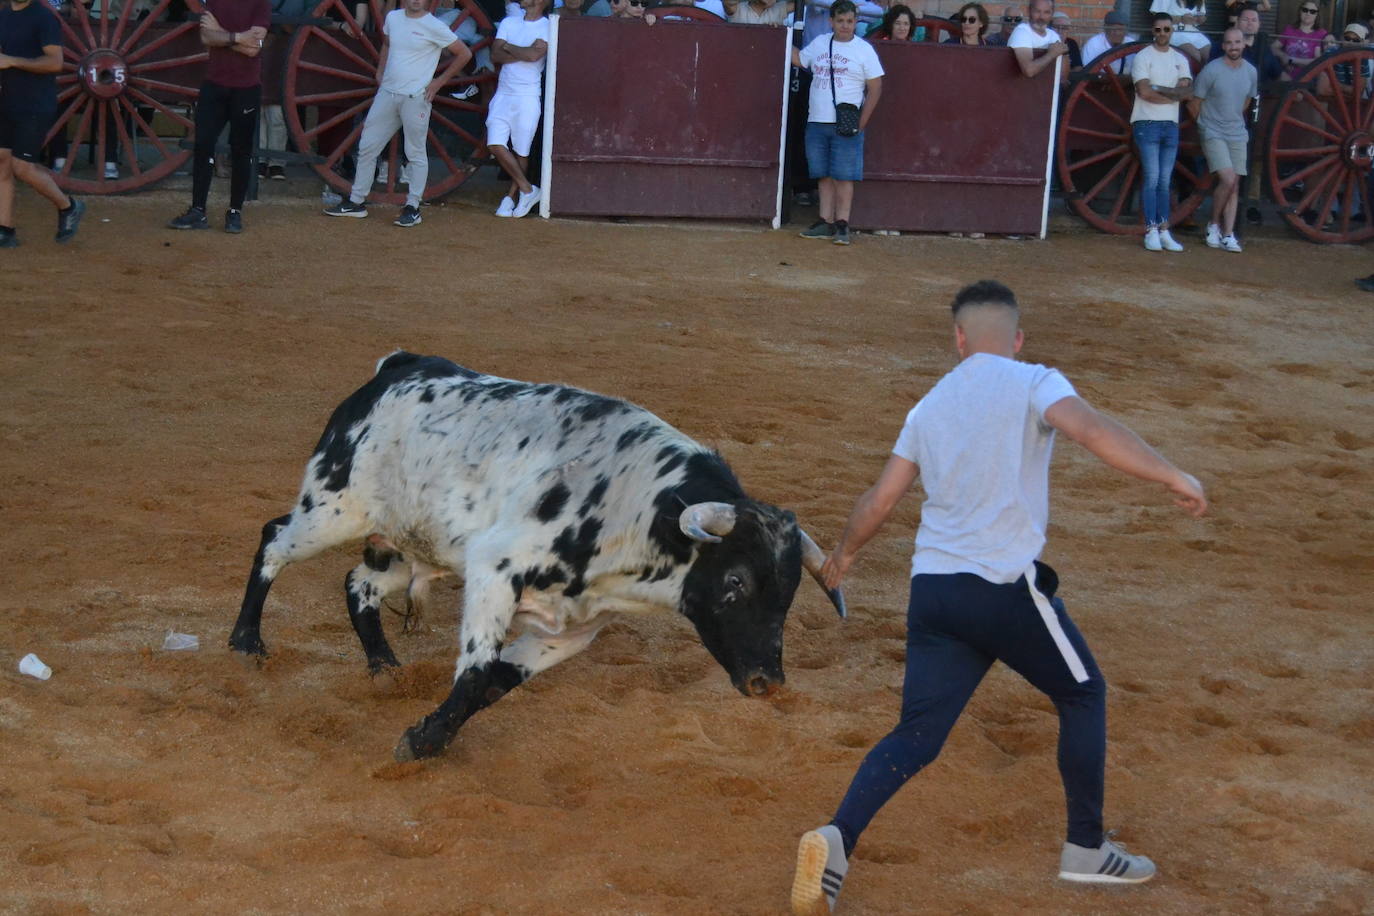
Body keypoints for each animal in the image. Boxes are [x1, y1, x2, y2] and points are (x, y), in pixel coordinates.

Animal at [228, 354, 846, 763]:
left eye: (789, 594)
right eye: (735, 581)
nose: (768, 681)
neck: (636, 507)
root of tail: (395, 369)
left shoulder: (574, 629)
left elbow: (497, 681)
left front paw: (430, 733)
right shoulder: (493, 570)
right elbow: (477, 673)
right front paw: (420, 743)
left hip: (406, 547)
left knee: (358, 582)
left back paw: (383, 666)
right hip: (332, 510)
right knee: (273, 540)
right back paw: (246, 642)